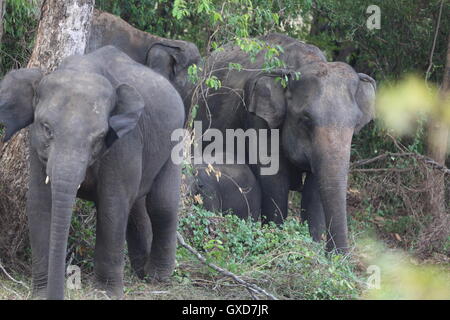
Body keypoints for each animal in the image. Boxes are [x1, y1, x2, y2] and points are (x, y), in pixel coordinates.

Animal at [0, 45, 185, 300]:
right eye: (46, 128)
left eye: (99, 137)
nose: (60, 291)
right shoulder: (36, 147)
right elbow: (39, 204)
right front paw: (41, 293)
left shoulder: (123, 142)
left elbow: (112, 206)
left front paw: (105, 293)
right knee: (136, 206)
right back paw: (141, 271)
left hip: (174, 142)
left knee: (161, 204)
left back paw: (157, 277)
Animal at [197, 33, 376, 252]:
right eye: (306, 119)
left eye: (356, 123)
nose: (337, 254)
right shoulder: (258, 118)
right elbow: (274, 179)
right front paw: (277, 239)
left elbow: (314, 190)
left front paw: (314, 249)